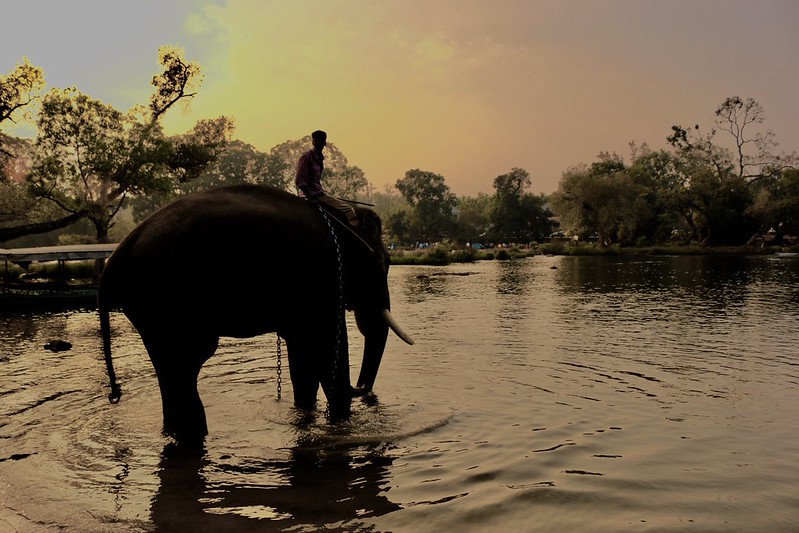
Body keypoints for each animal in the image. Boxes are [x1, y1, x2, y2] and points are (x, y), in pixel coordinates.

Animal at [98, 184, 413, 441]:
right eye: (384, 265)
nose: (360, 388)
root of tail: (112, 261)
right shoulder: (322, 278)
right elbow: (325, 350)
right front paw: (340, 423)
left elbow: (301, 354)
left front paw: (306, 415)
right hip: (169, 301)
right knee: (187, 364)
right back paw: (196, 434)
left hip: (149, 310)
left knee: (171, 371)